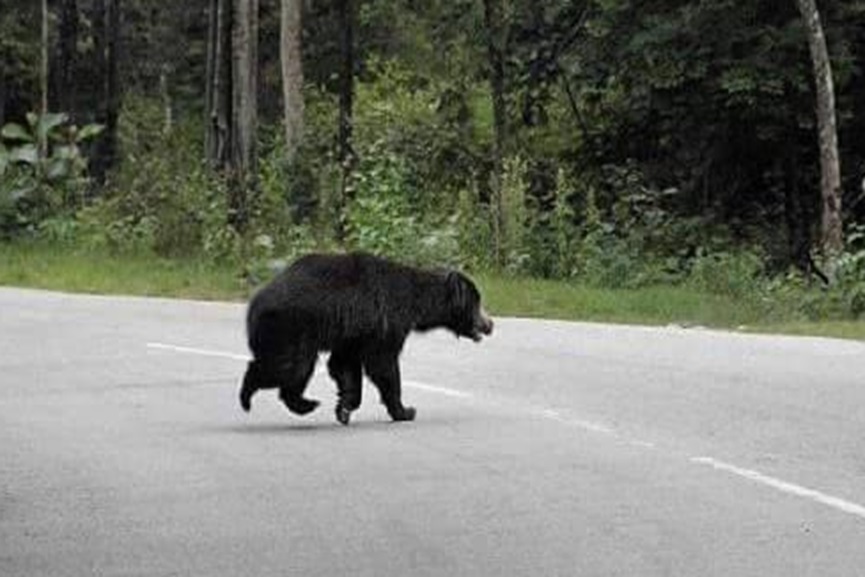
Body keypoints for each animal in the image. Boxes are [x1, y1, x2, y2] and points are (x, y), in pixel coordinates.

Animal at [239, 252, 494, 425]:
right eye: (477, 301)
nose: (490, 324)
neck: (413, 303)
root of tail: (254, 305)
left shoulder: (353, 333)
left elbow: (344, 365)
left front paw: (344, 407)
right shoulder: (384, 321)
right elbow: (384, 366)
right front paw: (405, 410)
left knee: (292, 370)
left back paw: (303, 403)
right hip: (291, 329)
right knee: (289, 367)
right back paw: (255, 398)